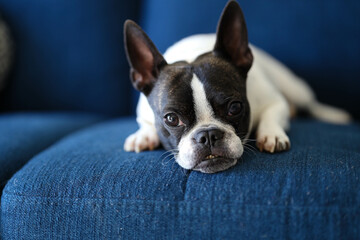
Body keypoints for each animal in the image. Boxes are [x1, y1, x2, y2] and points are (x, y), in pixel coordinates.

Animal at [122, 0, 350, 172]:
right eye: (171, 119)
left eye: (235, 107)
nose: (207, 135)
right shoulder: (142, 112)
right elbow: (145, 123)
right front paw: (143, 136)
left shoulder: (274, 101)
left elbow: (273, 113)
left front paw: (272, 134)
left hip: (295, 87)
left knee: (310, 102)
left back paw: (335, 115)